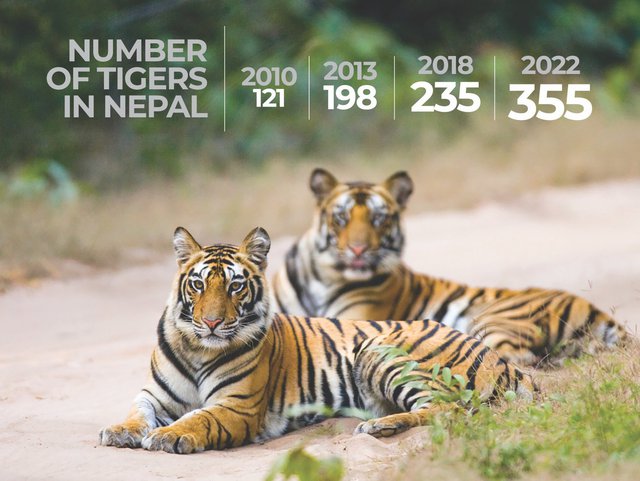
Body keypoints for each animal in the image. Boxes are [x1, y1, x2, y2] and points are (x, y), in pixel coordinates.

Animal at [99, 226, 534, 454]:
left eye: (236, 286)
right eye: (198, 284)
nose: (210, 322)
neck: (197, 348)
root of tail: (503, 361)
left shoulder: (236, 406)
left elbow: (198, 417)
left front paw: (169, 436)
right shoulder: (154, 396)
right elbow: (138, 413)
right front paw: (118, 431)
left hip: (380, 352)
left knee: (450, 410)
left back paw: (378, 428)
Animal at [271, 168, 629, 366]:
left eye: (378, 218)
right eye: (342, 217)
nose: (358, 249)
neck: (323, 277)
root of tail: (594, 308)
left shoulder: (354, 320)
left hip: (495, 320)